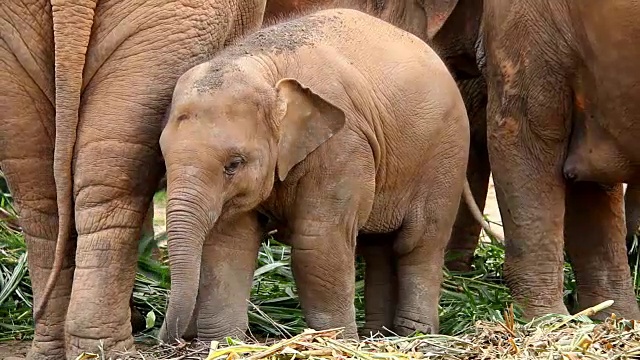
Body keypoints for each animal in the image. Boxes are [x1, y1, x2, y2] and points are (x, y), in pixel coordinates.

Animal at [160, 8, 470, 344]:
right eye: (163, 156)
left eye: (234, 164)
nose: (170, 337)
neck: (263, 64)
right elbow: (228, 244)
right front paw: (223, 343)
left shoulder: (344, 144)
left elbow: (318, 245)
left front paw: (337, 341)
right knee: (378, 247)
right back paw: (378, 335)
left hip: (446, 157)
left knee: (419, 244)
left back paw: (414, 335)